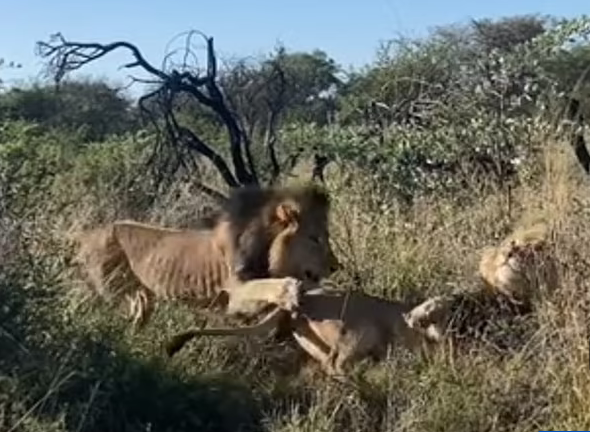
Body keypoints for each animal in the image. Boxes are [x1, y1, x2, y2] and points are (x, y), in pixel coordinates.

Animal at [73, 182, 342, 328]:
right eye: (314, 238)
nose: (335, 267)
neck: (268, 248)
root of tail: (85, 235)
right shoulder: (235, 293)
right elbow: (266, 286)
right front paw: (290, 291)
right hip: (114, 291)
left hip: (139, 296)